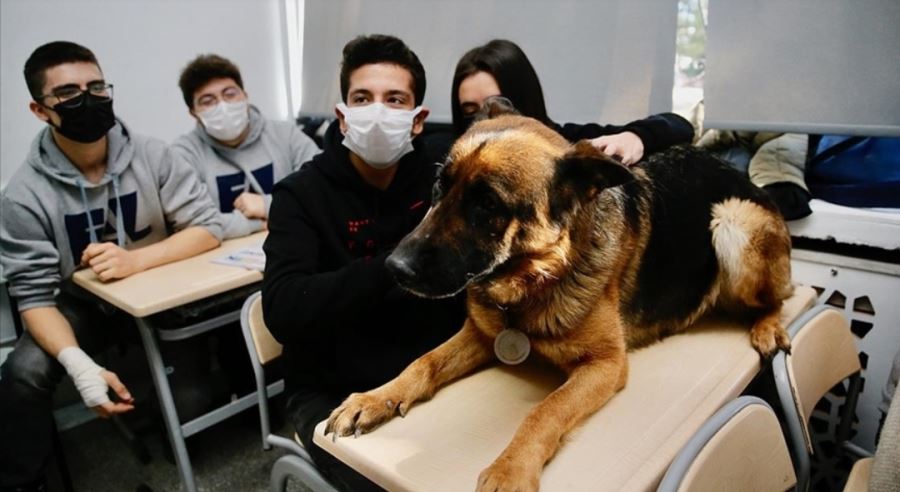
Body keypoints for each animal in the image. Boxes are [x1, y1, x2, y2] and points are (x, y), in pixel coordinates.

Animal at [326, 104, 792, 492]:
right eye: (440, 186)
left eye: (487, 203)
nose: (394, 268)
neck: (536, 278)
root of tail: (740, 175)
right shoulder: (482, 334)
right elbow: (423, 362)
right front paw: (375, 397)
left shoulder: (606, 365)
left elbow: (545, 410)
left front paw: (510, 469)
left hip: (732, 221)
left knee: (780, 297)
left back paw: (768, 326)